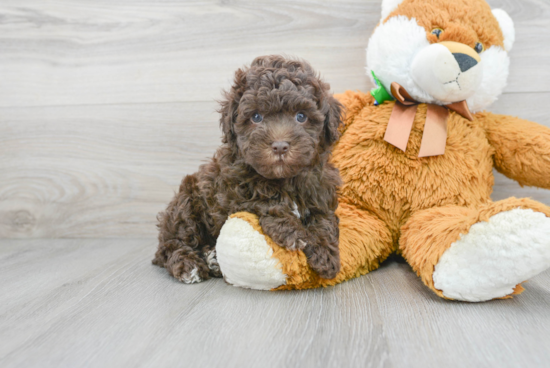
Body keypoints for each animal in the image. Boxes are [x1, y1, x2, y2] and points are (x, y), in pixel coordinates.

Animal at [153, 54, 342, 284]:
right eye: (256, 117)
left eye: (301, 116)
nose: (280, 146)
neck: (285, 178)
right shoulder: (231, 190)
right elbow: (265, 200)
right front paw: (292, 231)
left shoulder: (320, 188)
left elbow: (323, 219)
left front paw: (325, 254)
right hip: (186, 205)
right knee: (171, 245)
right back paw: (190, 265)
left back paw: (212, 259)